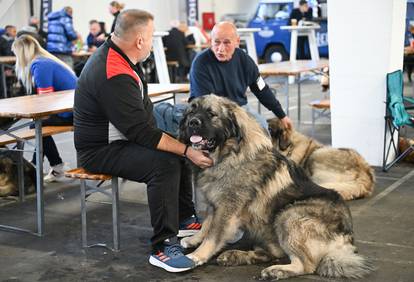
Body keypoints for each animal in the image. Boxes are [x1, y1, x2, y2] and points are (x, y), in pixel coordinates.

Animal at [178, 96, 372, 280]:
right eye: (191, 112)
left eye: (211, 114)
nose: (192, 122)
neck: (229, 153)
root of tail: (348, 239)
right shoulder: (216, 203)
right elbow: (207, 224)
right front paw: (194, 239)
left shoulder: (227, 208)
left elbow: (214, 234)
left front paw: (197, 255)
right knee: (274, 252)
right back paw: (236, 256)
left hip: (289, 215)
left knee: (306, 265)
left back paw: (275, 270)